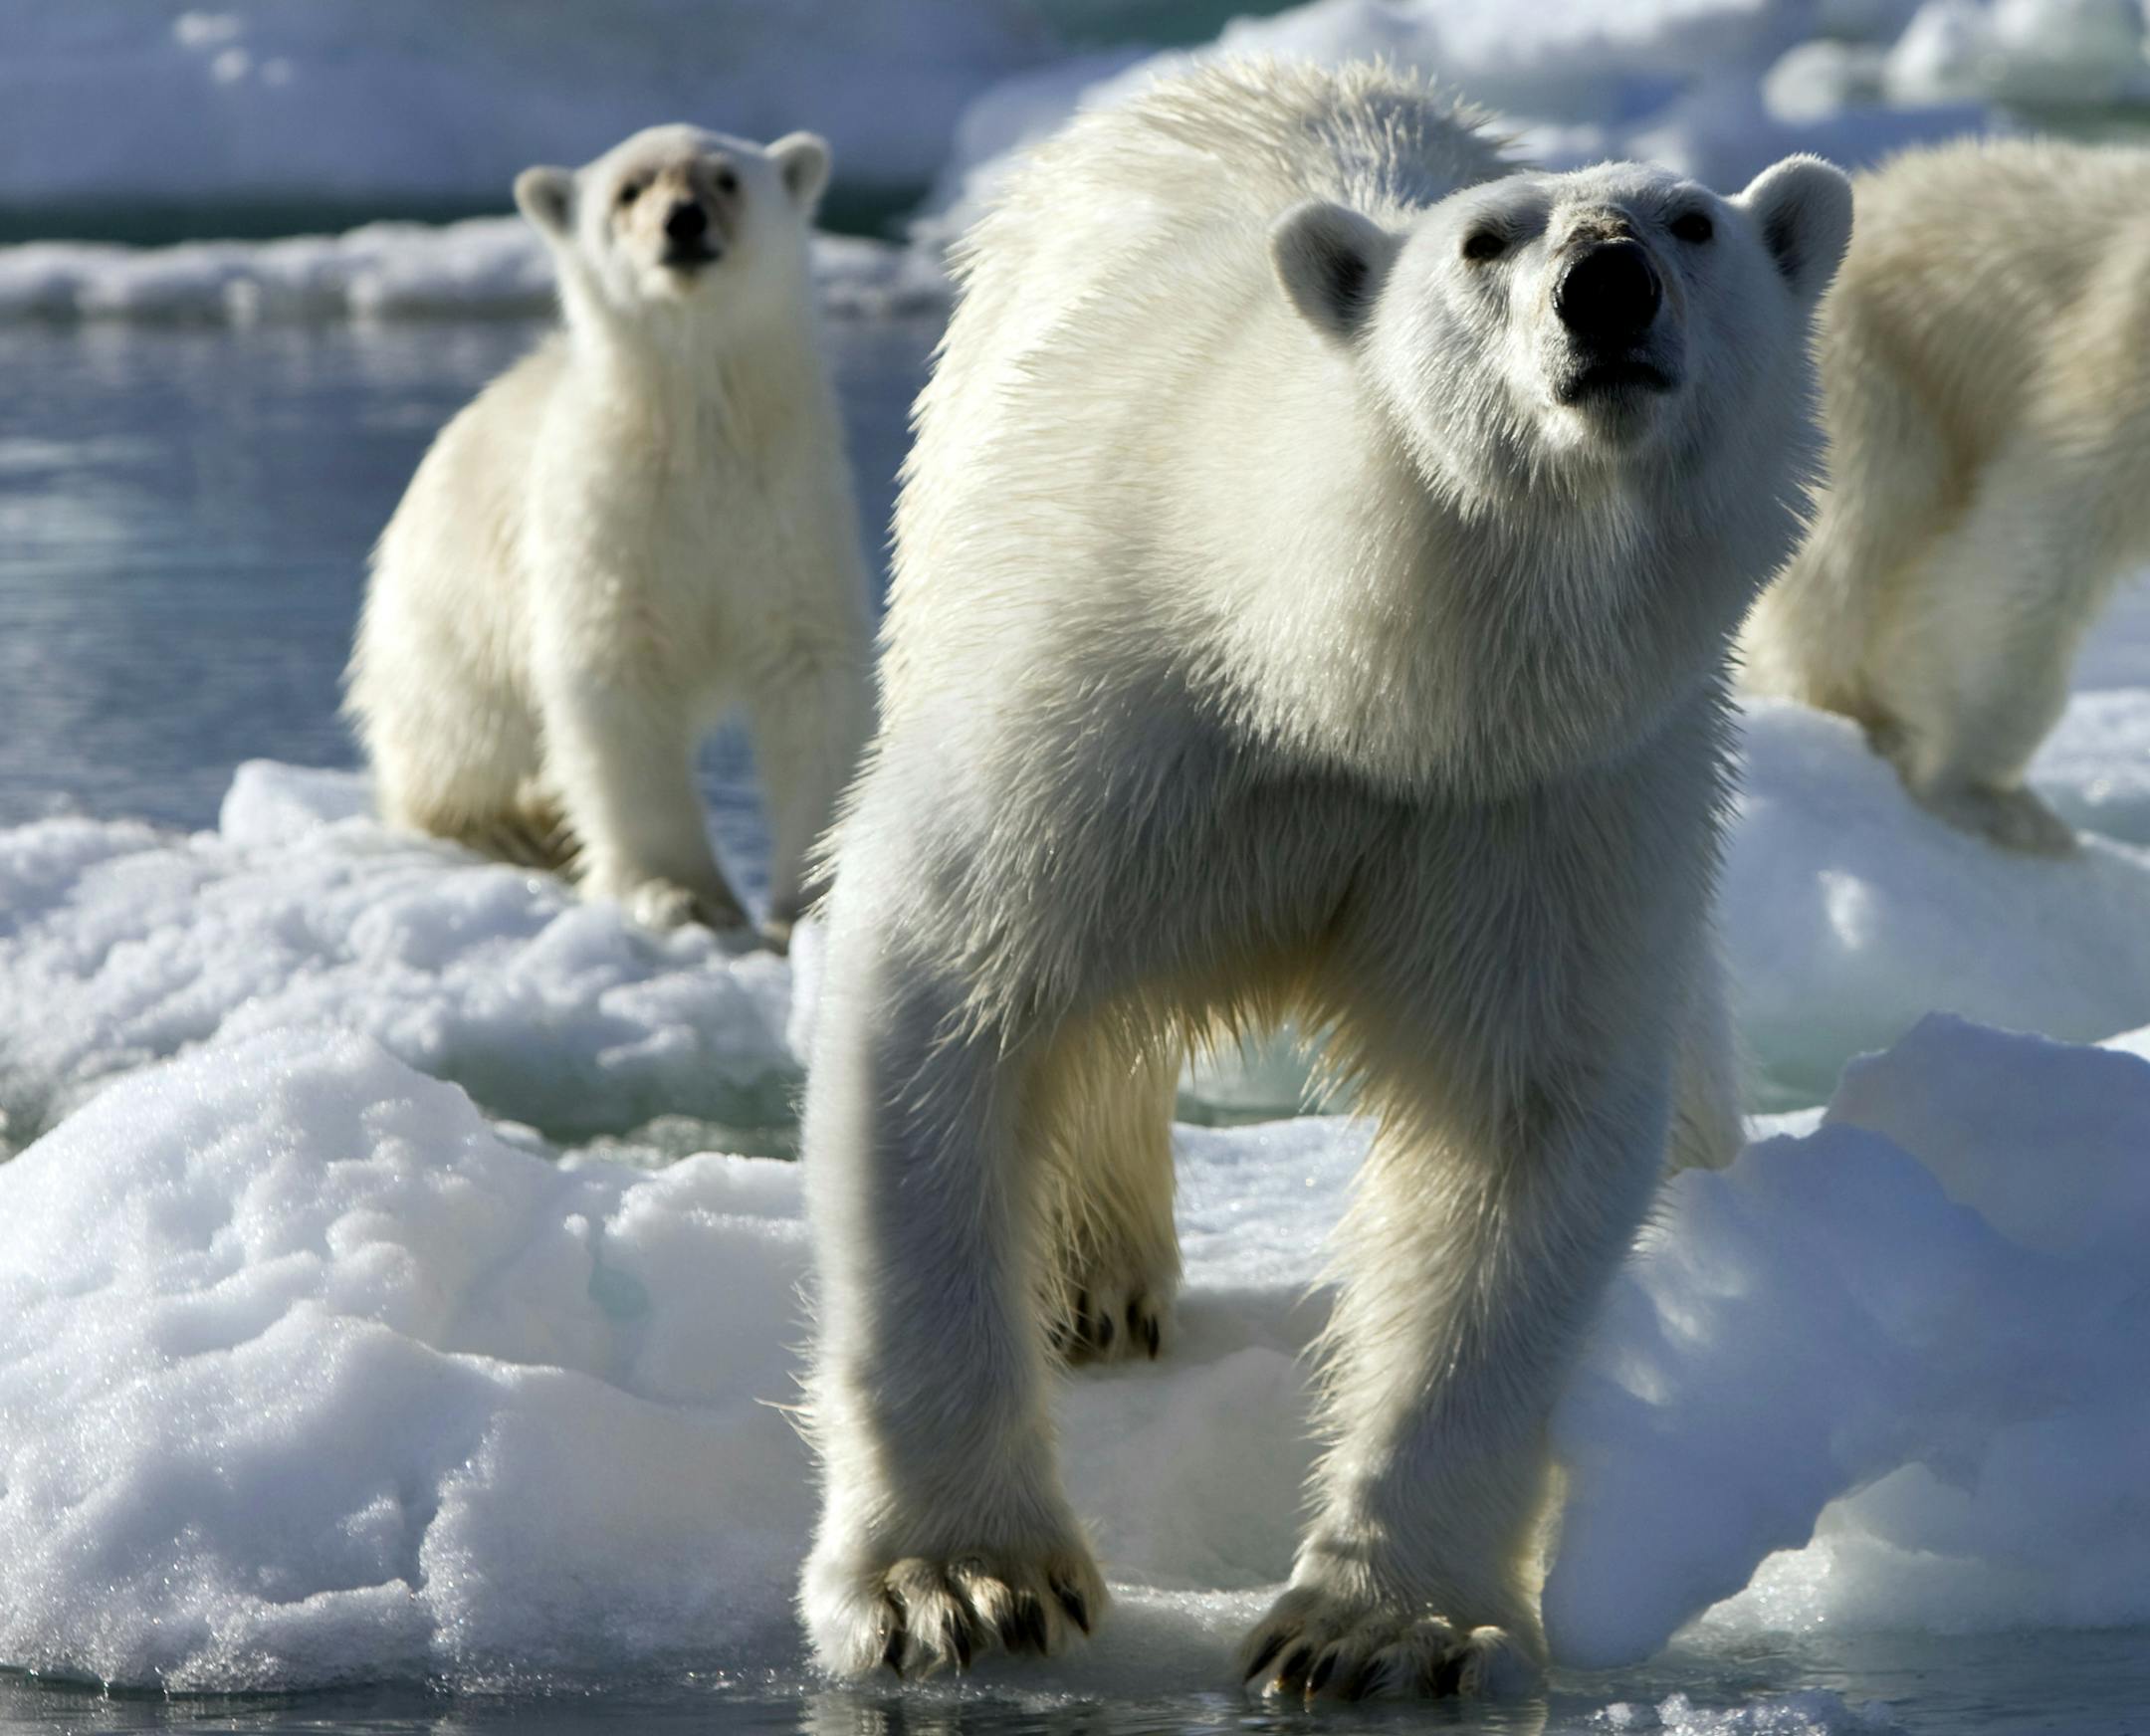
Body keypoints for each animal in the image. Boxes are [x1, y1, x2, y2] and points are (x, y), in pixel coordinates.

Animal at [344, 123, 872, 943]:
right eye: (630, 189)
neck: (695, 435)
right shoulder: (608, 525)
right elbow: (614, 681)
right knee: (459, 734)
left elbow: (813, 679)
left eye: (725, 179)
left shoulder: (789, 511)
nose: (682, 221)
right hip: (445, 618)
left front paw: (809, 904)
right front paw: (680, 893)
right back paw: (511, 828)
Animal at [796, 59, 1850, 1698]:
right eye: (1484, 243)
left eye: (1692, 220)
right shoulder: (1112, 712)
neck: (1345, 676)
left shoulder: (1543, 801)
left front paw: (1380, 1629)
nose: (1607, 284)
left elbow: (1515, 1127)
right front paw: (953, 1585)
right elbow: (950, 991)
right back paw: (1090, 1284)